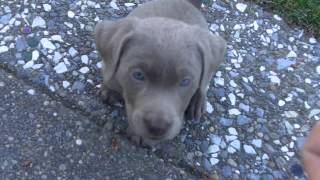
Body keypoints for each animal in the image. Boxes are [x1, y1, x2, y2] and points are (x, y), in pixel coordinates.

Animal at [94, 0, 226, 146]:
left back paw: (197, 102)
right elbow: (111, 75)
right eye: (138, 75)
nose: (157, 127)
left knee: (204, 83)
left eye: (185, 81)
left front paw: (142, 136)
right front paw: (110, 89)